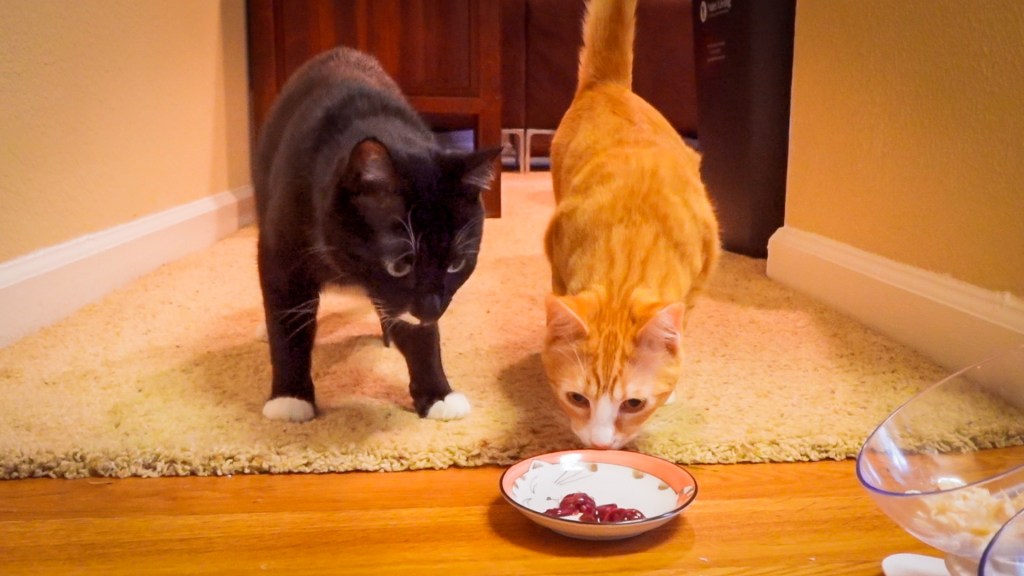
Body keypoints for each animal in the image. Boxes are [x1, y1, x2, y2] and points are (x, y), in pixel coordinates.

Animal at [251, 47, 499, 420]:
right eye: (400, 264)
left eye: (456, 264)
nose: (431, 309)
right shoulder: (282, 252)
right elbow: (289, 320)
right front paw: (290, 398)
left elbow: (420, 334)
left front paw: (438, 394)